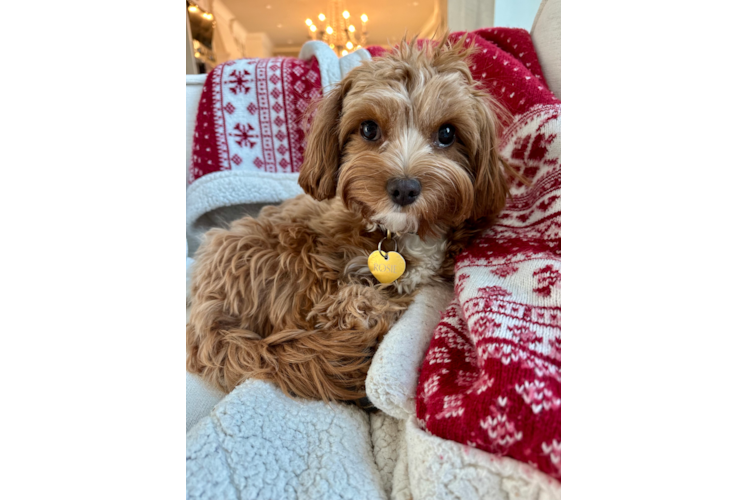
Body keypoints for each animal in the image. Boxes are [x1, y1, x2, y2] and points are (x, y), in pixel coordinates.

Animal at [186, 35, 516, 402]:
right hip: (282, 250)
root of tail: (206, 316)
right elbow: (352, 307)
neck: (401, 234)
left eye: (447, 134)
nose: (404, 188)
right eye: (369, 129)